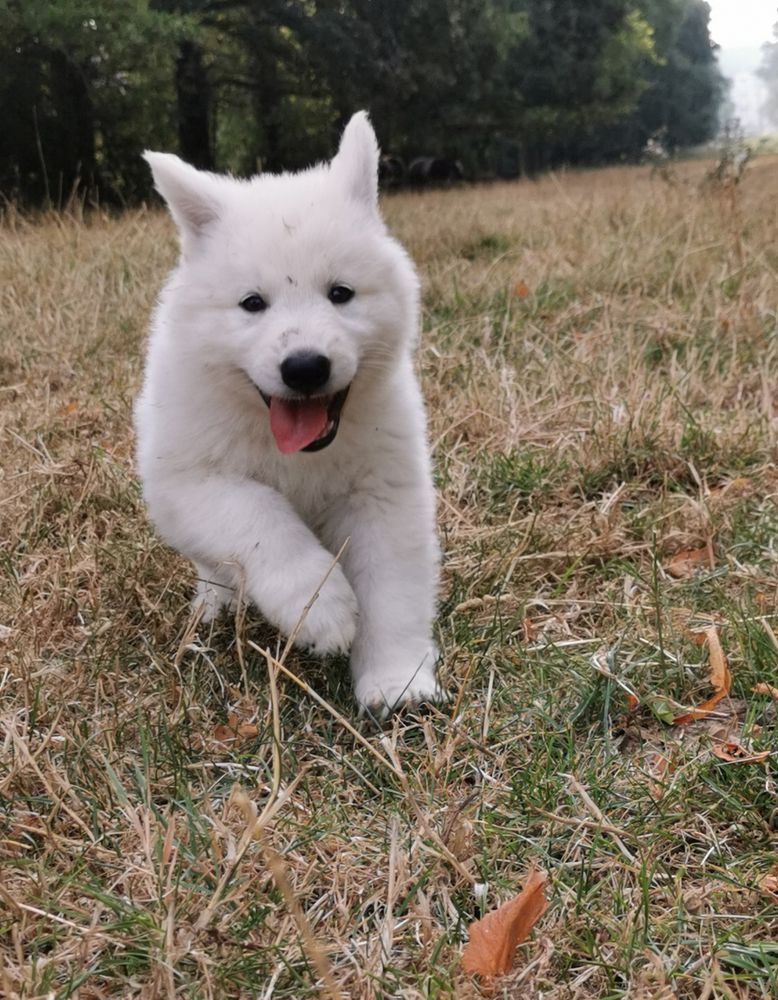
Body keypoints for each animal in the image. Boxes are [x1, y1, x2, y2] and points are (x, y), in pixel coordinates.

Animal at [135, 113, 442, 716]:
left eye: (341, 293)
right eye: (253, 303)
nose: (305, 367)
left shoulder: (384, 492)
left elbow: (391, 587)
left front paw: (395, 680)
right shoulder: (188, 481)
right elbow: (261, 515)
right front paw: (318, 607)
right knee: (218, 565)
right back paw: (217, 606)